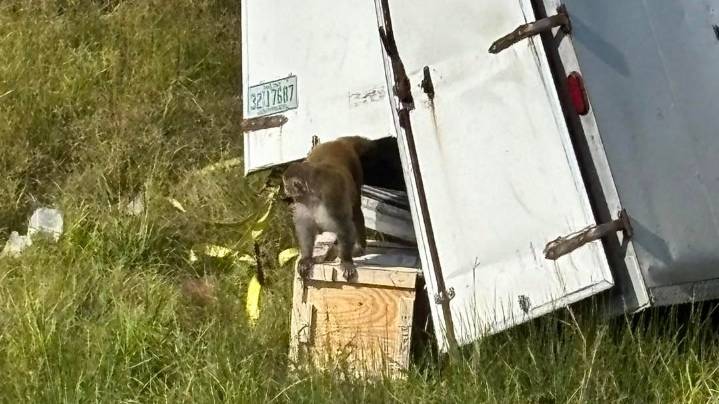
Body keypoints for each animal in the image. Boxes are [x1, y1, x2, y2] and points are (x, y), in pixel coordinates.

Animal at [282, 136, 375, 281]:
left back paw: (358, 247)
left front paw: (346, 261)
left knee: (355, 209)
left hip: (355, 168)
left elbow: (344, 226)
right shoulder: (303, 202)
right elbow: (305, 227)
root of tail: (338, 142)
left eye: (286, 186)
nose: (285, 191)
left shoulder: (331, 196)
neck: (313, 195)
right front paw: (306, 258)